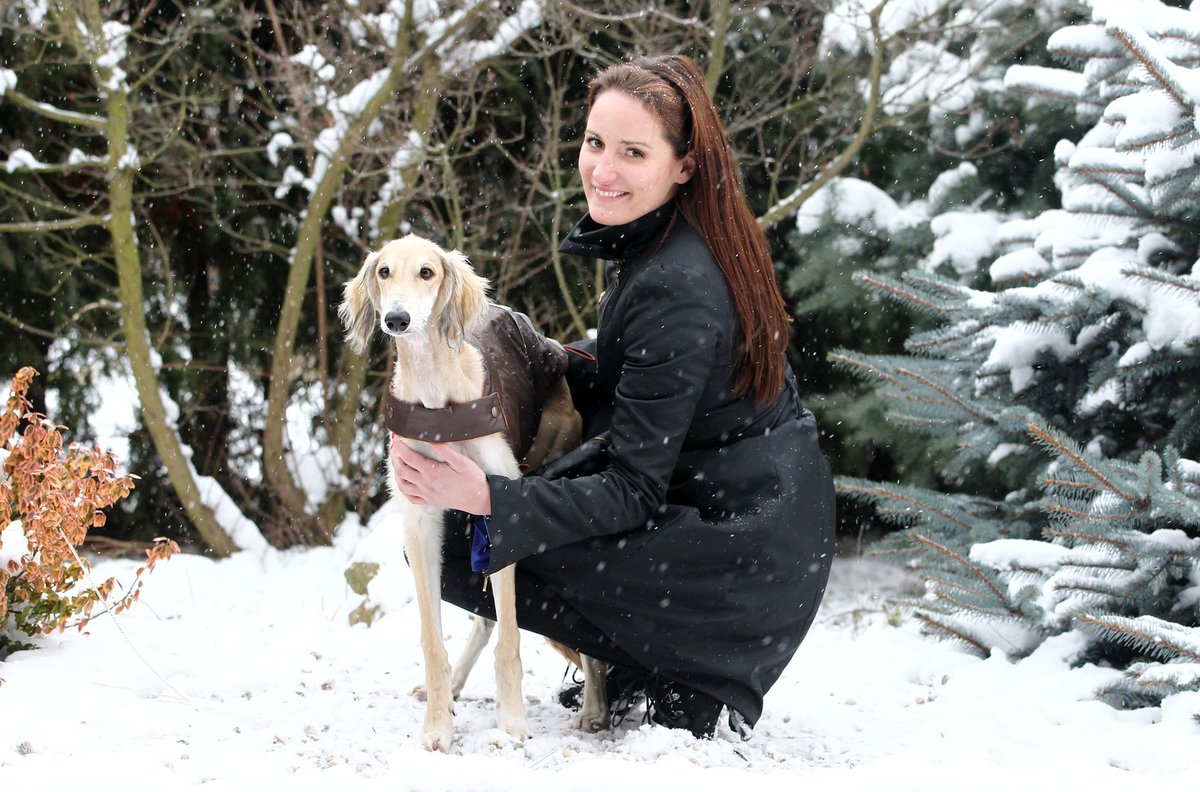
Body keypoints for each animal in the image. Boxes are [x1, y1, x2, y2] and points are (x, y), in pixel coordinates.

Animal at [340, 234, 583, 748]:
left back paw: (594, 709)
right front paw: (438, 725)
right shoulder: (421, 522)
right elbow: (433, 641)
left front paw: (512, 722)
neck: (437, 401)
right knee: (483, 620)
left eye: (427, 272)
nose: (397, 319)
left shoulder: (506, 513)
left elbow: (511, 637)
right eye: (384, 272)